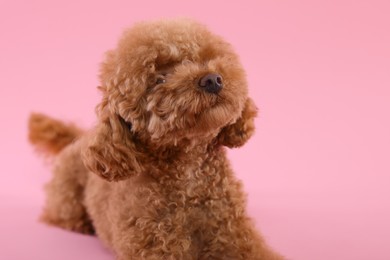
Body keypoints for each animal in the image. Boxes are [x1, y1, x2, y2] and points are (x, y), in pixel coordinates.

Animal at [28, 18, 284, 260]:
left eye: (205, 58)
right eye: (159, 79)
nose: (212, 80)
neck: (190, 178)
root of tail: (80, 138)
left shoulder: (234, 235)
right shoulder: (155, 244)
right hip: (66, 197)